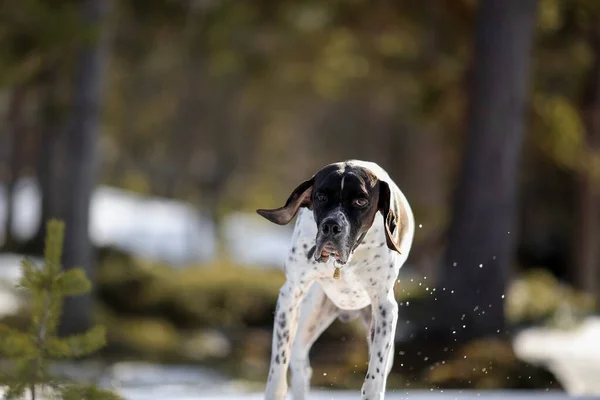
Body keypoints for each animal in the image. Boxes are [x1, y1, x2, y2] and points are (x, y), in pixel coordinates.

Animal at [255, 160, 414, 400]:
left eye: (360, 201)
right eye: (320, 197)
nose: (331, 226)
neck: (343, 263)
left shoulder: (385, 308)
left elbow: (375, 374)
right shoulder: (290, 295)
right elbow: (279, 362)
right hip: (310, 317)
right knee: (300, 363)